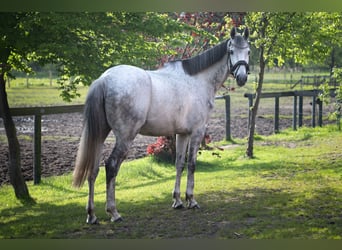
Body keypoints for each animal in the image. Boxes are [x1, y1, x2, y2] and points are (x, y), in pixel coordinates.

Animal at [73, 27, 250, 225]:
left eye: (249, 51)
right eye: (231, 51)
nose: (242, 77)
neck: (197, 81)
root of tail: (104, 79)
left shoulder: (182, 134)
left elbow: (179, 164)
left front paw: (177, 200)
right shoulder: (197, 132)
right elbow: (192, 165)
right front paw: (191, 200)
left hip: (100, 135)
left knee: (93, 170)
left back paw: (92, 215)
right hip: (125, 137)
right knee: (111, 166)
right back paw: (114, 212)